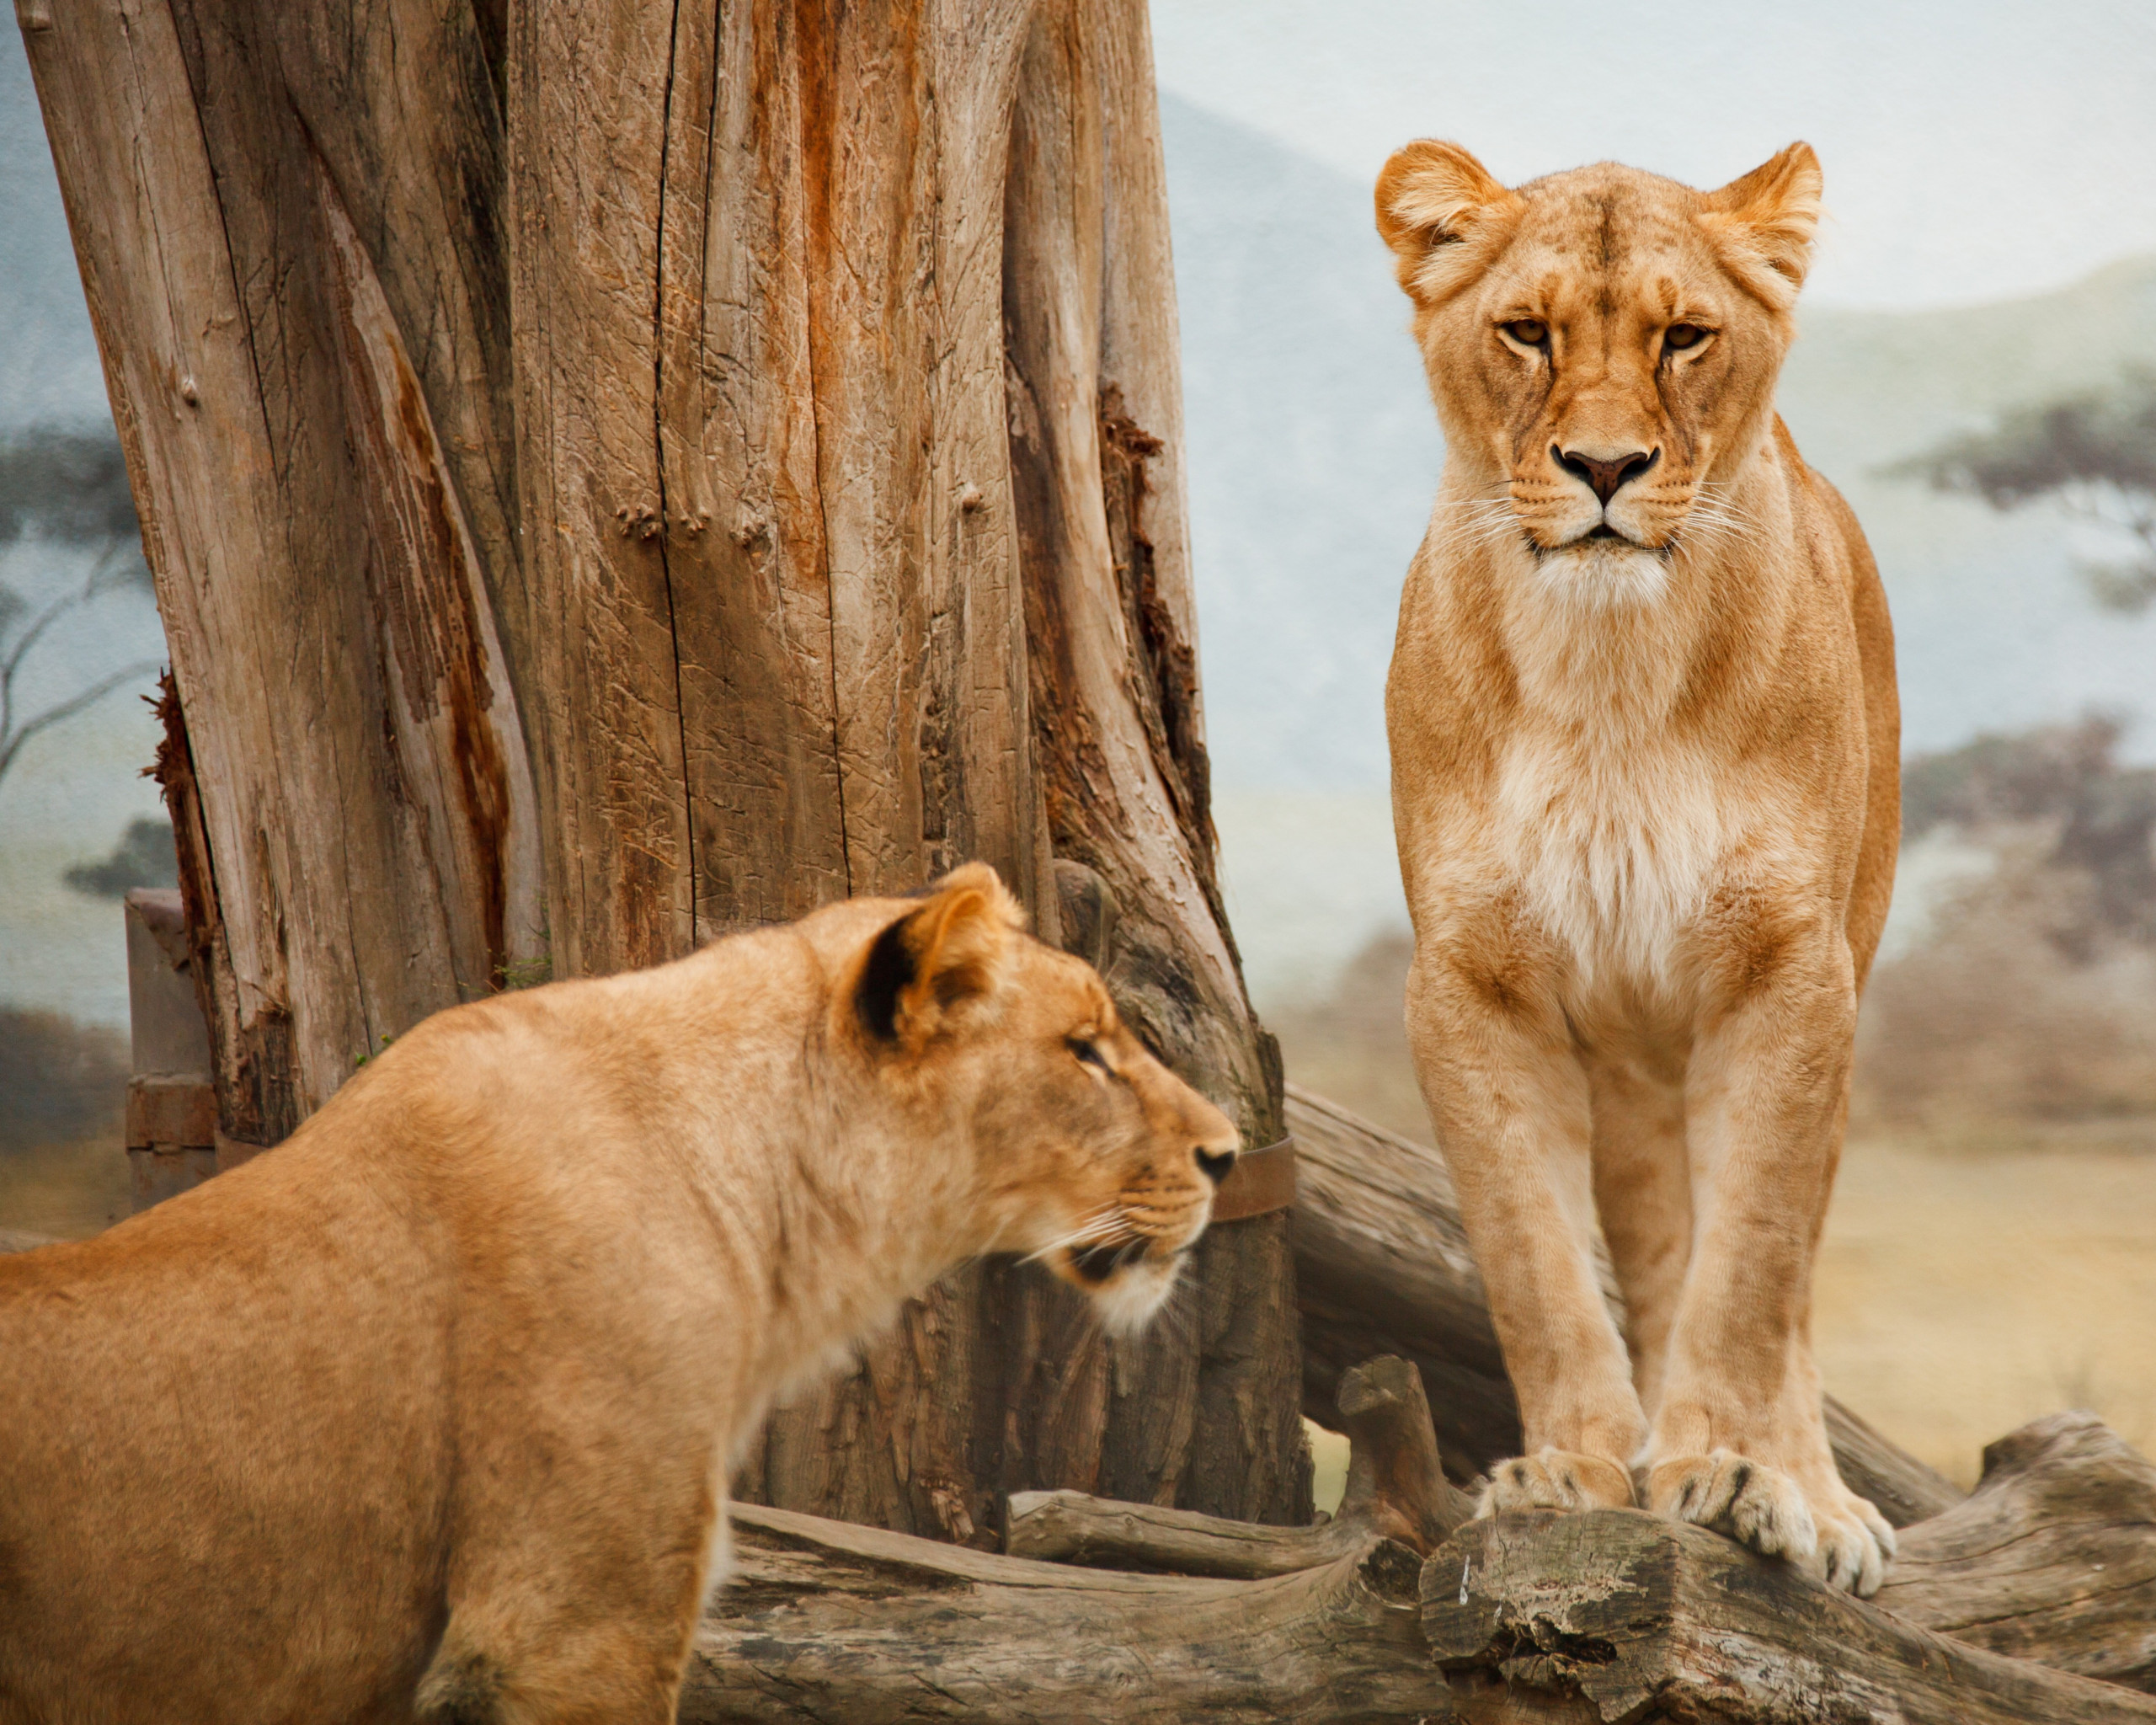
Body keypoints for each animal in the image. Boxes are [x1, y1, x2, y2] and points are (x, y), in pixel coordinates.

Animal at [1374, 140, 1900, 1594]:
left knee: (1789, 1277)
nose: (1605, 466)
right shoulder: (1471, 988)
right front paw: (1572, 1468)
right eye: (1526, 331)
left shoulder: (1789, 975)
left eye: (1683, 337)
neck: (1607, 668)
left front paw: (1729, 1473)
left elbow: (1752, 1271)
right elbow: (1534, 1259)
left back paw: (1814, 1500)